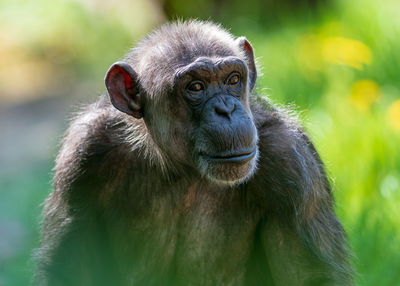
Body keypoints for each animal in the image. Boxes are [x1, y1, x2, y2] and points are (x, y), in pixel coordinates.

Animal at [34, 20, 354, 286]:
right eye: (196, 86)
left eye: (232, 80)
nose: (226, 109)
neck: (181, 167)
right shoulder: (82, 156)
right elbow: (70, 270)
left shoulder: (292, 163)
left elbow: (309, 276)